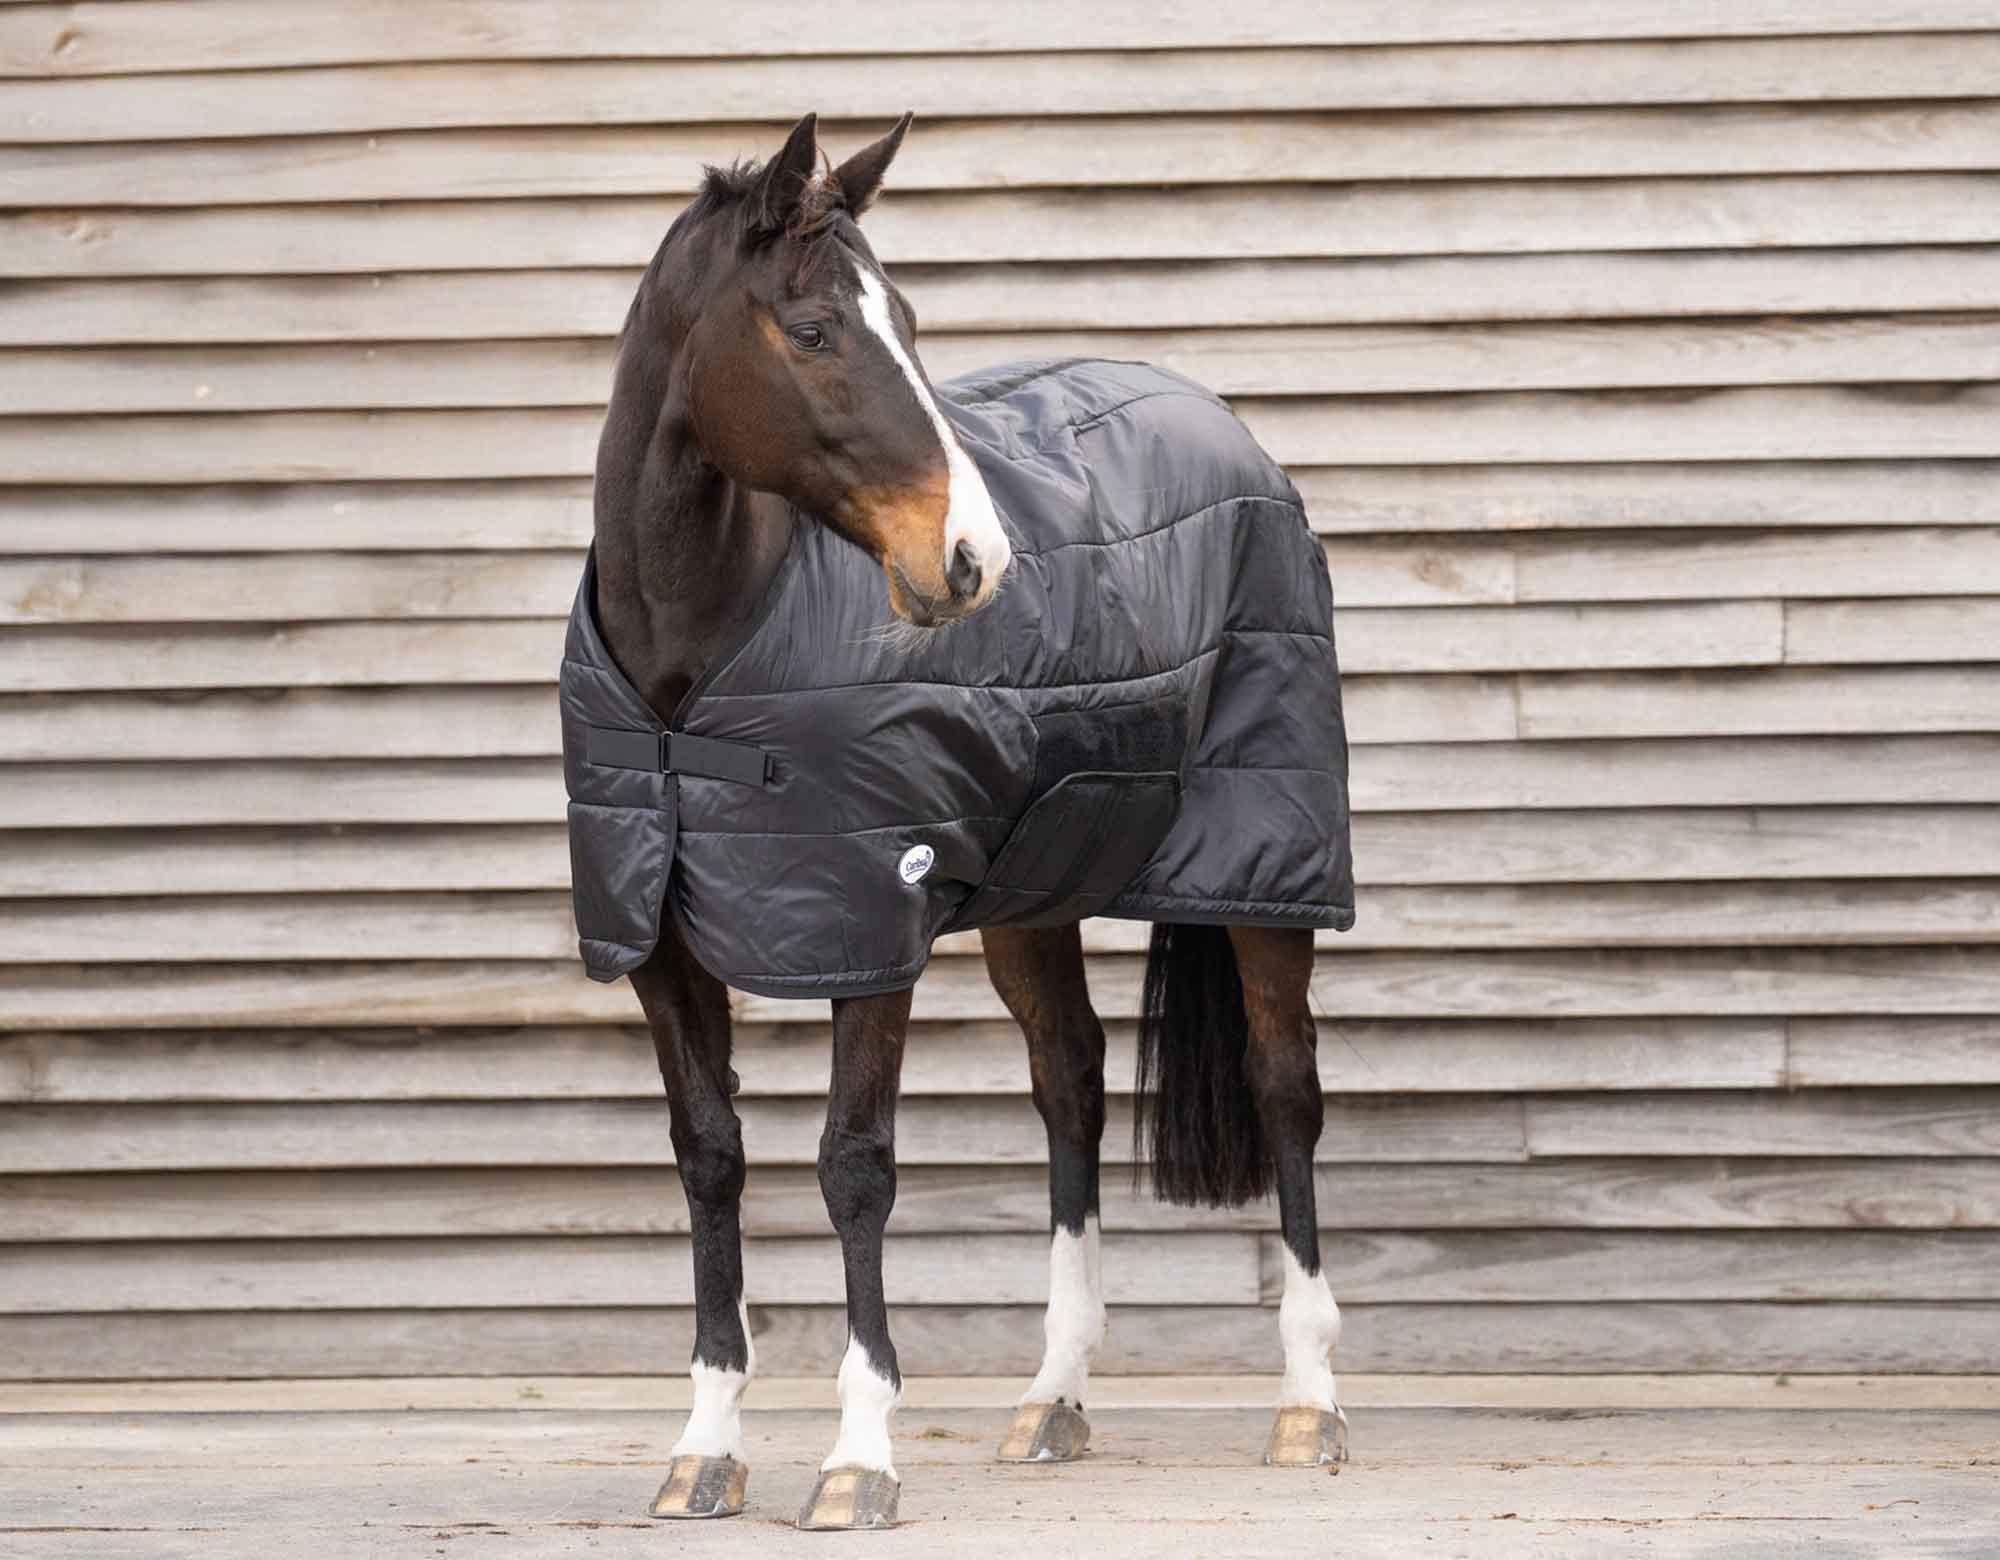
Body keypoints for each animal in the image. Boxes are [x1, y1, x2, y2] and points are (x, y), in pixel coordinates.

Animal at [584, 112, 1349, 1530]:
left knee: (1286, 1089)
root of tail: (1231, 435)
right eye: (813, 329)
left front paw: (858, 1459)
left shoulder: (868, 924)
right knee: (1072, 1087)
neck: (687, 681)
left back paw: (1309, 1404)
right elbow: (708, 1158)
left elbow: (854, 1166)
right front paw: (704, 1447)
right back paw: (1052, 1401)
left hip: (1264, 858)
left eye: (909, 320)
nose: (970, 562)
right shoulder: (653, 943)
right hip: (1032, 895)